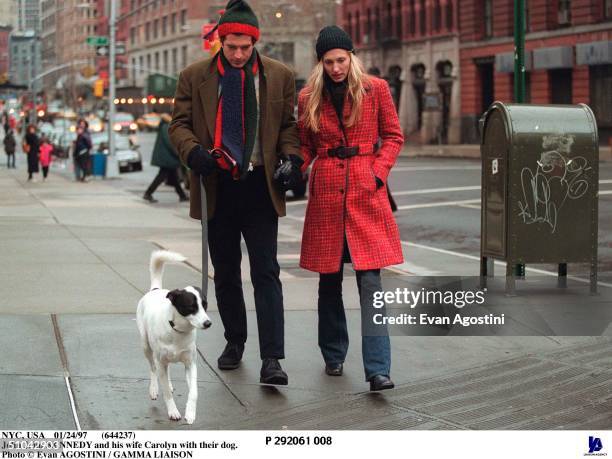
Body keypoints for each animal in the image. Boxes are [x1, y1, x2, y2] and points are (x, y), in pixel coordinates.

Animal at [136, 252, 212, 424]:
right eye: (191, 307)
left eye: (205, 305)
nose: (208, 323)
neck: (178, 331)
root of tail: (155, 289)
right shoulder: (160, 360)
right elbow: (166, 392)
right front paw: (173, 411)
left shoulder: (191, 364)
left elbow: (194, 392)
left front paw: (190, 413)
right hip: (146, 346)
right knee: (153, 368)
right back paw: (154, 389)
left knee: (166, 369)